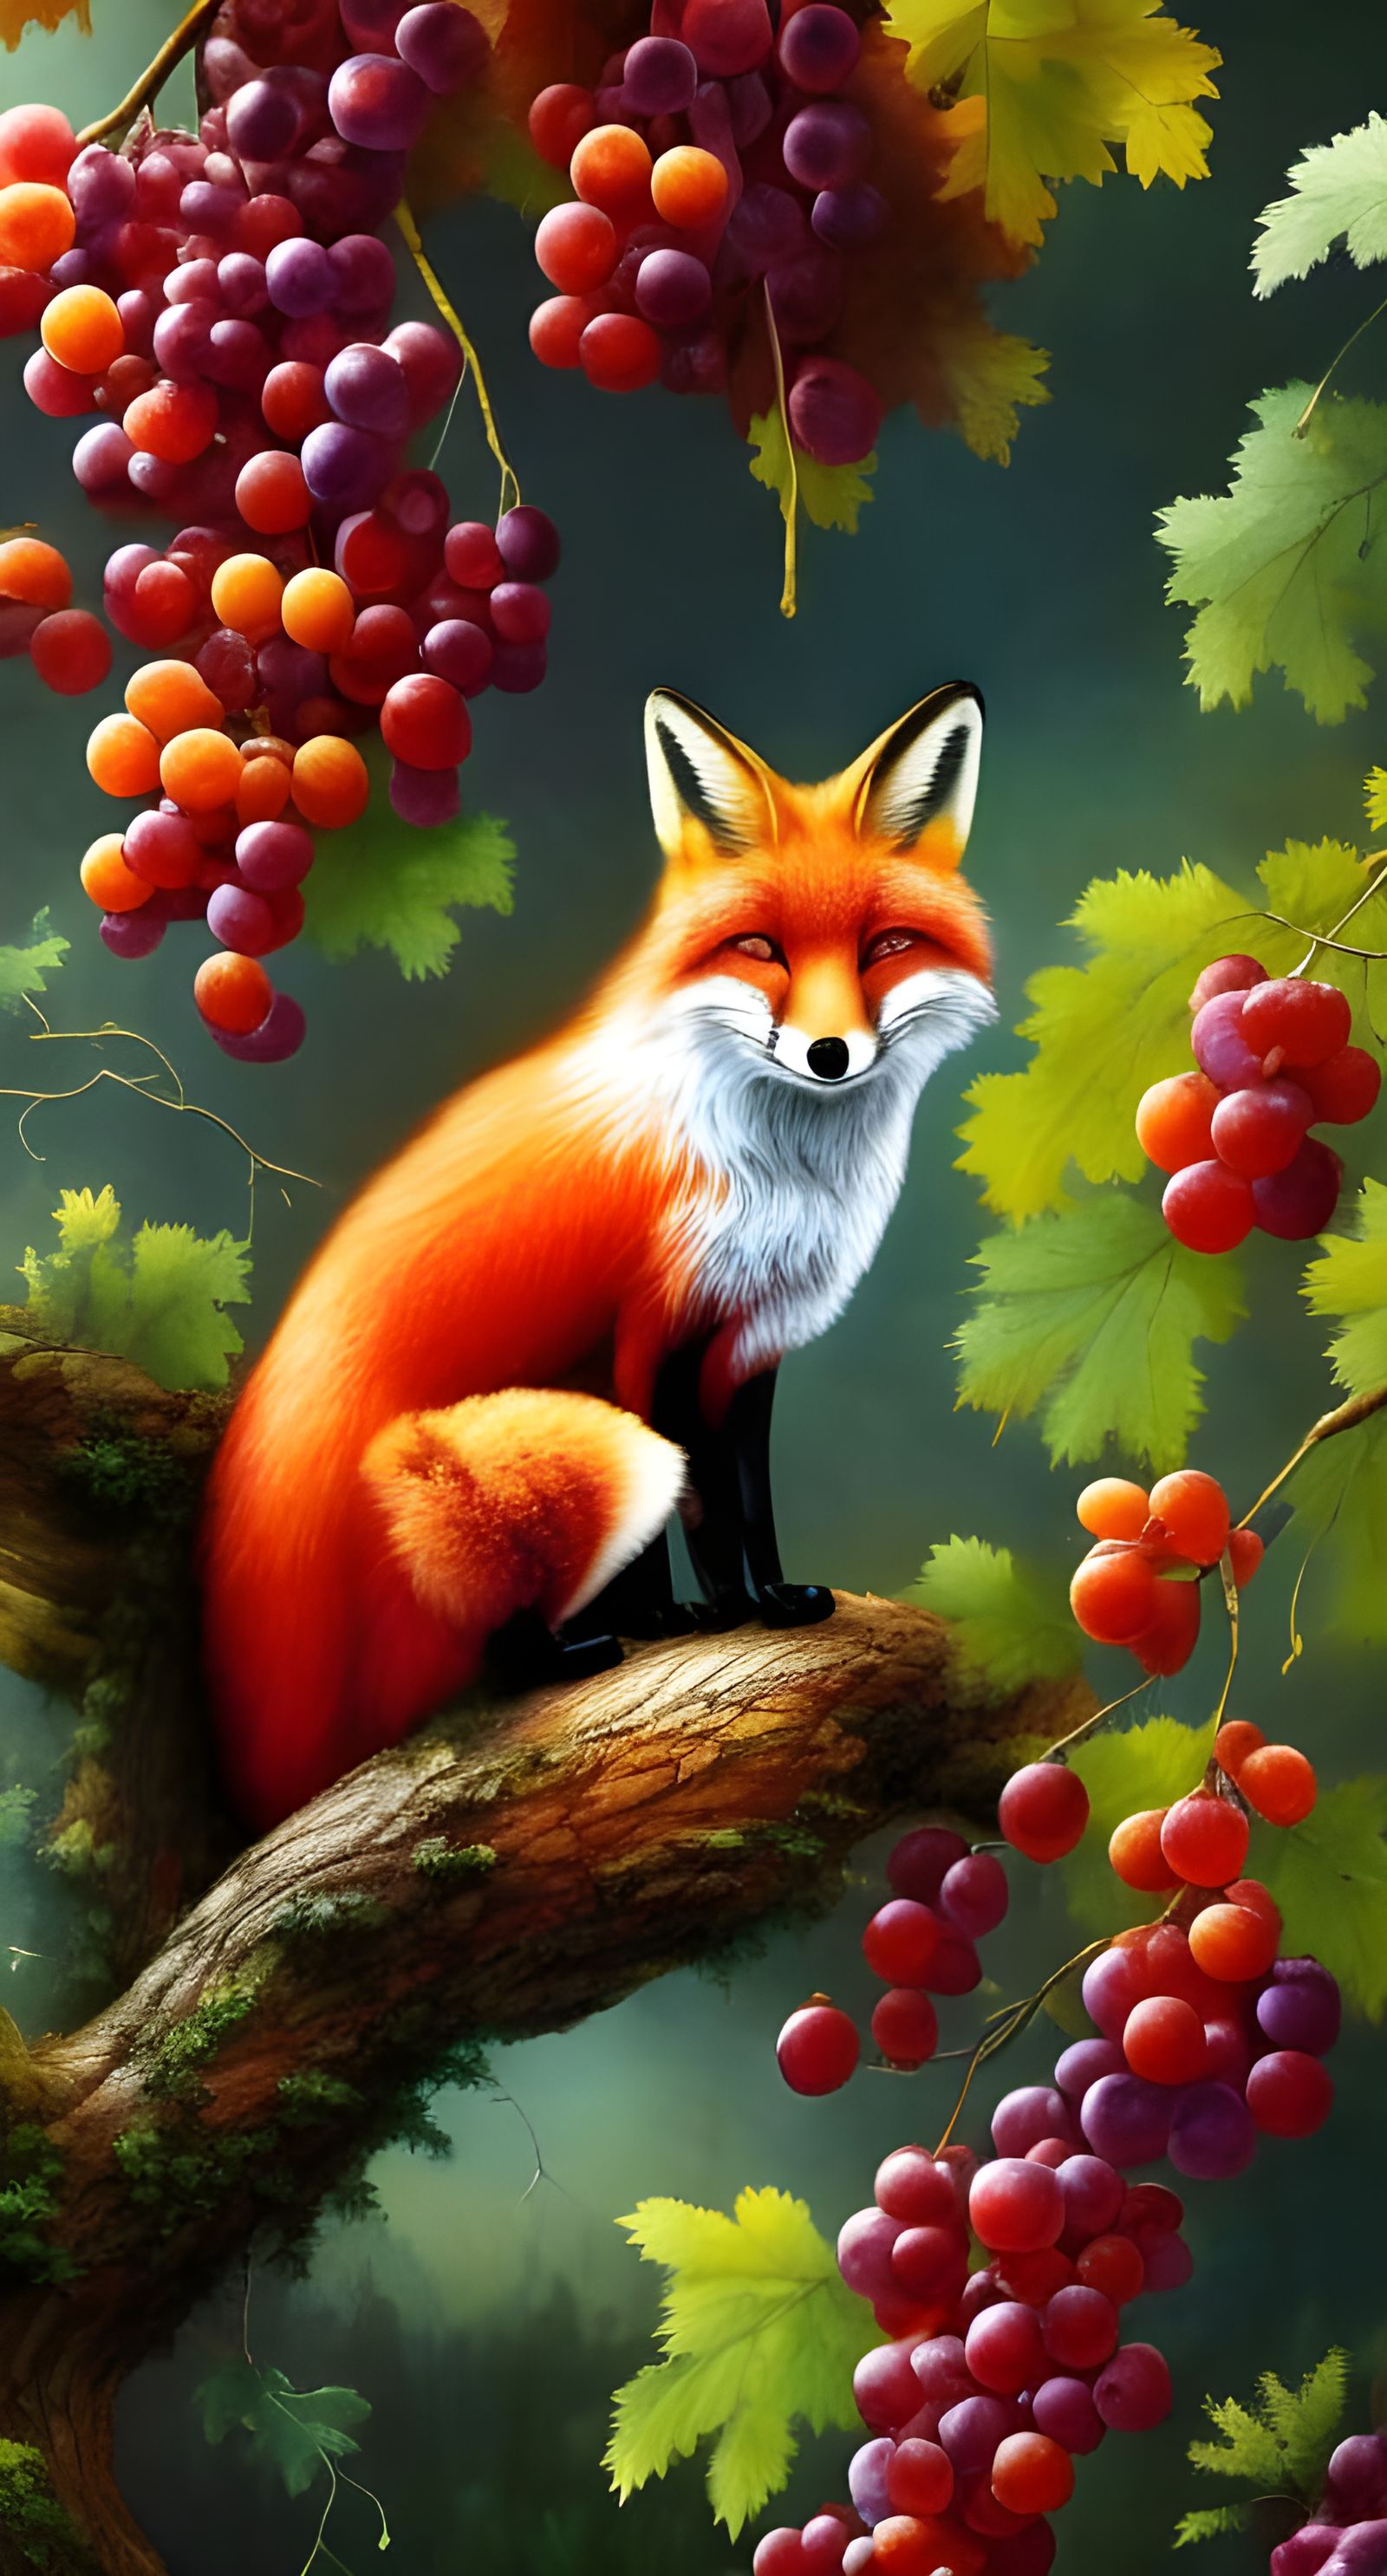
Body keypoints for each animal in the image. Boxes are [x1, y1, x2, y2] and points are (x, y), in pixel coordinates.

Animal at [201, 681, 995, 1830]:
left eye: (884, 944)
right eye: (761, 948)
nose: (829, 1054)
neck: (767, 1170)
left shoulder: (747, 1342)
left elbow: (741, 1498)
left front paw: (763, 1601)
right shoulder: (644, 1332)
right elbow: (685, 1501)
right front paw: (679, 1615)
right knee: (484, 1658)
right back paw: (567, 1648)